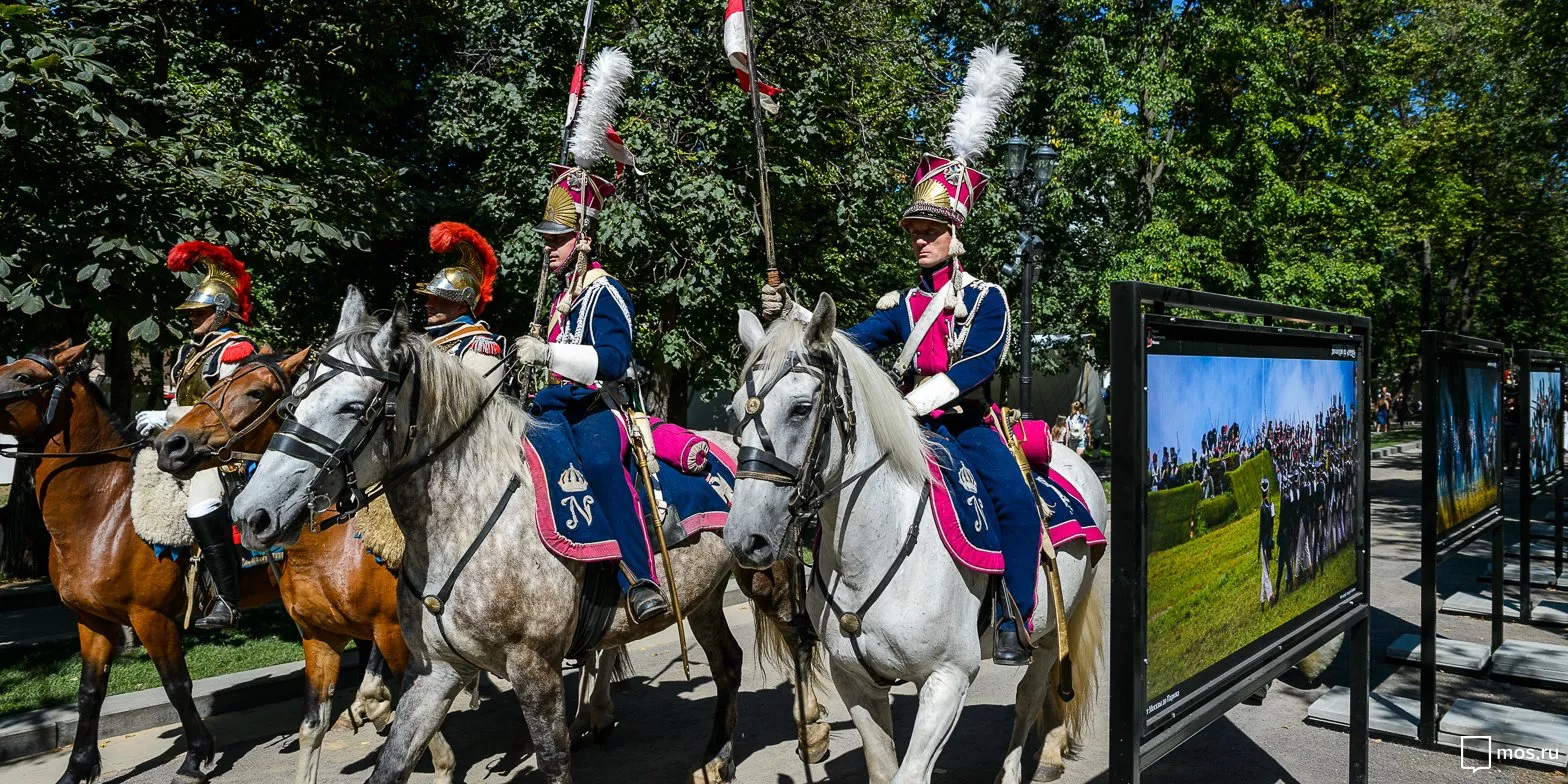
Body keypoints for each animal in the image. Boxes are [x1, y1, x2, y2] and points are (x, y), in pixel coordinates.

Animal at [0, 343, 277, 784]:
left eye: (25, 377)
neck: (105, 512)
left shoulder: (150, 617)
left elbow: (177, 684)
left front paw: (195, 758)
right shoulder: (92, 620)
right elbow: (89, 693)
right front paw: (76, 768)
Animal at [154, 352, 454, 784]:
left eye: (256, 392)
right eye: (214, 385)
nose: (170, 444)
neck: (330, 547)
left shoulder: (395, 634)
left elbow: (425, 732)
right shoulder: (318, 637)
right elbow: (312, 727)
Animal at [724, 294, 1103, 784]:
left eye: (802, 408)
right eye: (735, 411)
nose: (744, 539)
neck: (872, 550)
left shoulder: (947, 680)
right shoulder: (854, 681)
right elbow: (883, 768)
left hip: (1052, 626)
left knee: (1034, 692)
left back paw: (1041, 756)